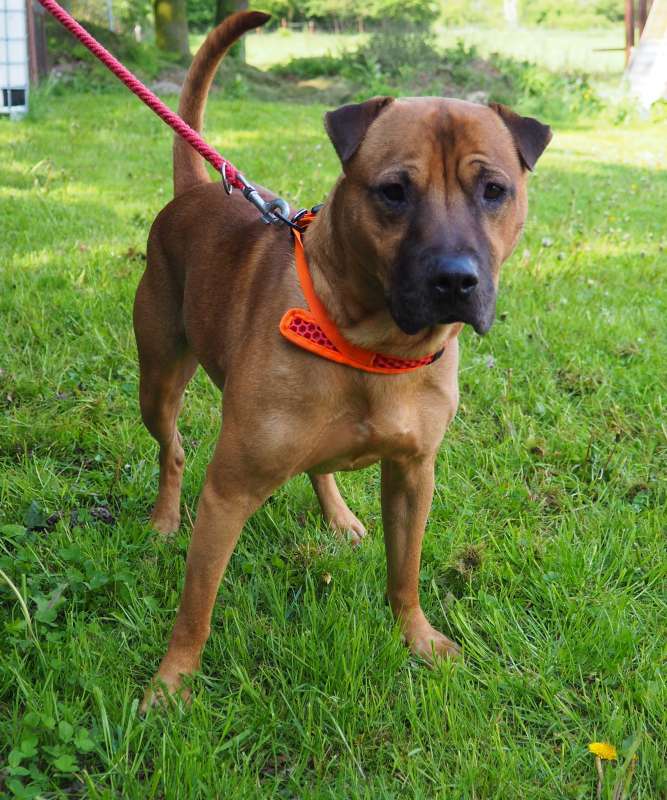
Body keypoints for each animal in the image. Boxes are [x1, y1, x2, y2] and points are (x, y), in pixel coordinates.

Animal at [133, 11, 552, 707]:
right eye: (393, 191)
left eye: (494, 190)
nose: (455, 279)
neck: (375, 345)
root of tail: (195, 190)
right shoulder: (227, 493)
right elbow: (196, 606)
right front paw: (172, 684)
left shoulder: (414, 474)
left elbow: (405, 571)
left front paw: (417, 637)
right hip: (158, 380)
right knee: (172, 450)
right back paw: (165, 517)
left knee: (317, 466)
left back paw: (338, 515)